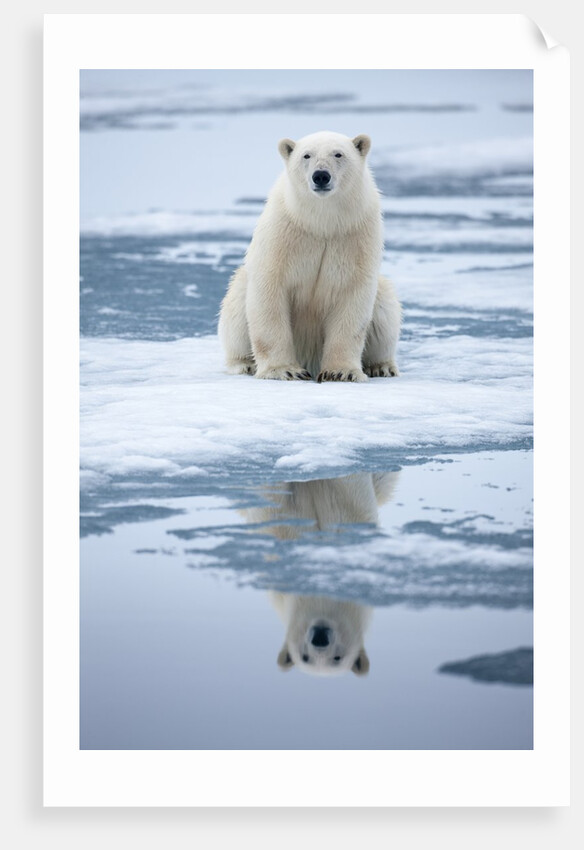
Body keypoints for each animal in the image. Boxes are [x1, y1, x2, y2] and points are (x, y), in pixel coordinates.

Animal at [218, 130, 401, 382]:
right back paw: (244, 364)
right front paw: (284, 370)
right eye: (306, 155)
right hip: (239, 293)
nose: (321, 176)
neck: (320, 223)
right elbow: (270, 293)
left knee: (385, 308)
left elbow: (351, 299)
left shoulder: (355, 236)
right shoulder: (283, 235)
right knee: (236, 307)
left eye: (338, 154)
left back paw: (381, 366)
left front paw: (341, 372)